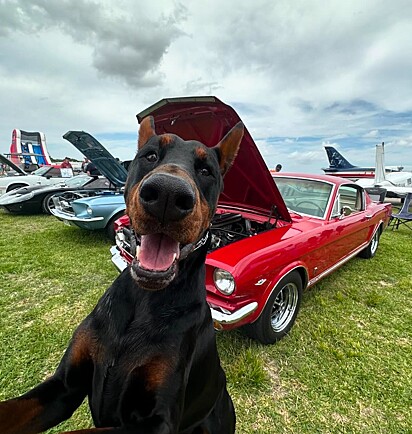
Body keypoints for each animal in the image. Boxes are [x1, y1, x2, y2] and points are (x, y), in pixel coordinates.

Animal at [0, 116, 243, 434]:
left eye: (206, 170)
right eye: (150, 156)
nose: (167, 194)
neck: (144, 300)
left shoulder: (156, 422)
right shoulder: (63, 387)